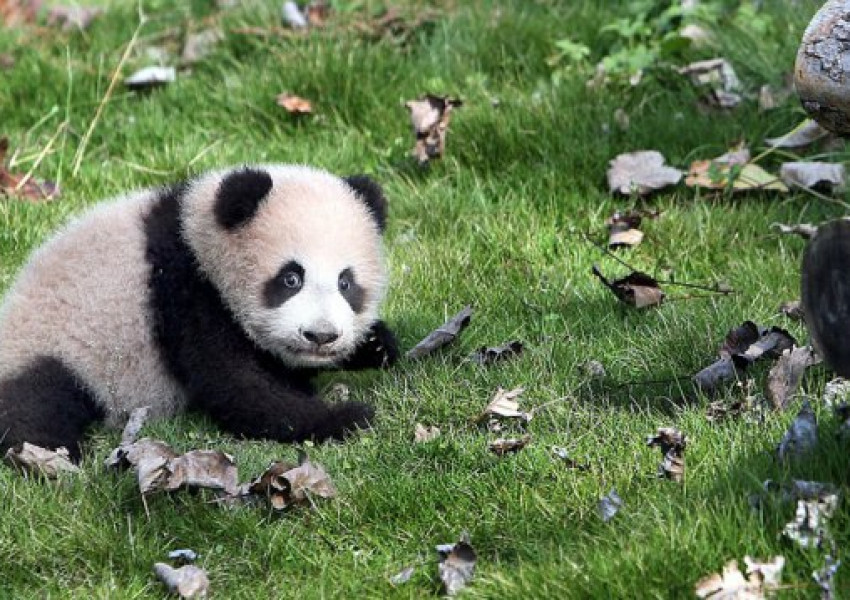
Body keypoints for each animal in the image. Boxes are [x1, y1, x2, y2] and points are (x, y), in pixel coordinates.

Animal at [0, 164, 398, 460]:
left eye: (346, 283)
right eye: (291, 278)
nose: (321, 335)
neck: (196, 237)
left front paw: (376, 346)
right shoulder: (188, 295)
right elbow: (237, 386)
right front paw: (346, 418)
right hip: (55, 348)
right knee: (35, 402)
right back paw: (49, 454)